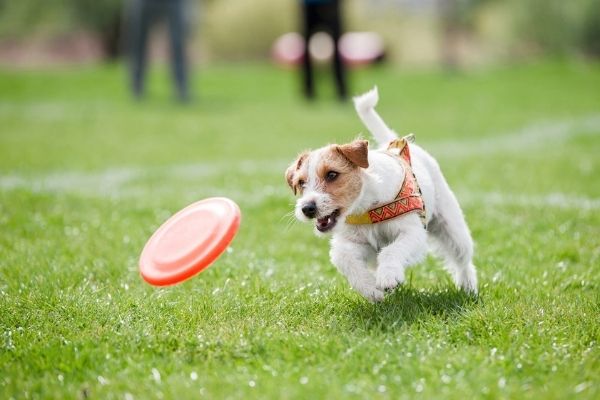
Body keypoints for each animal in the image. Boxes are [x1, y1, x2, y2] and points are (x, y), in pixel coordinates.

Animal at [286, 86, 478, 300]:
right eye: (301, 182)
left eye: (332, 174)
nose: (307, 208)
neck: (367, 207)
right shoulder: (355, 243)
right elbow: (343, 258)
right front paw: (370, 289)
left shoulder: (412, 233)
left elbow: (391, 251)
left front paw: (388, 277)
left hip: (452, 228)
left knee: (463, 260)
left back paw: (468, 287)